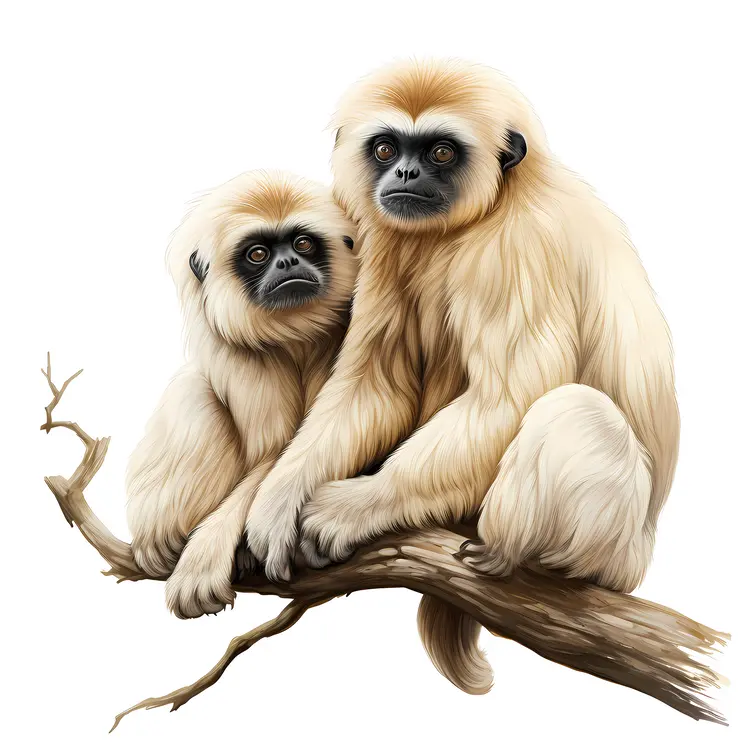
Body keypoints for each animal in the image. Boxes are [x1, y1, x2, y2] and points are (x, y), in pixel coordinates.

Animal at [125, 169, 356, 619]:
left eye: (302, 244)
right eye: (258, 253)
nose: (288, 262)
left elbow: (281, 455)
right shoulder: (233, 348)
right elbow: (269, 450)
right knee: (194, 392)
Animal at [240, 59, 679, 692]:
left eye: (442, 151)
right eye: (386, 147)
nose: (406, 171)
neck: (488, 209)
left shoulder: (518, 248)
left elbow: (509, 398)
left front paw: (359, 504)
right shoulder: (382, 238)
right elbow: (376, 385)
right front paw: (278, 498)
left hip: (613, 550)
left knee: (573, 410)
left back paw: (507, 550)